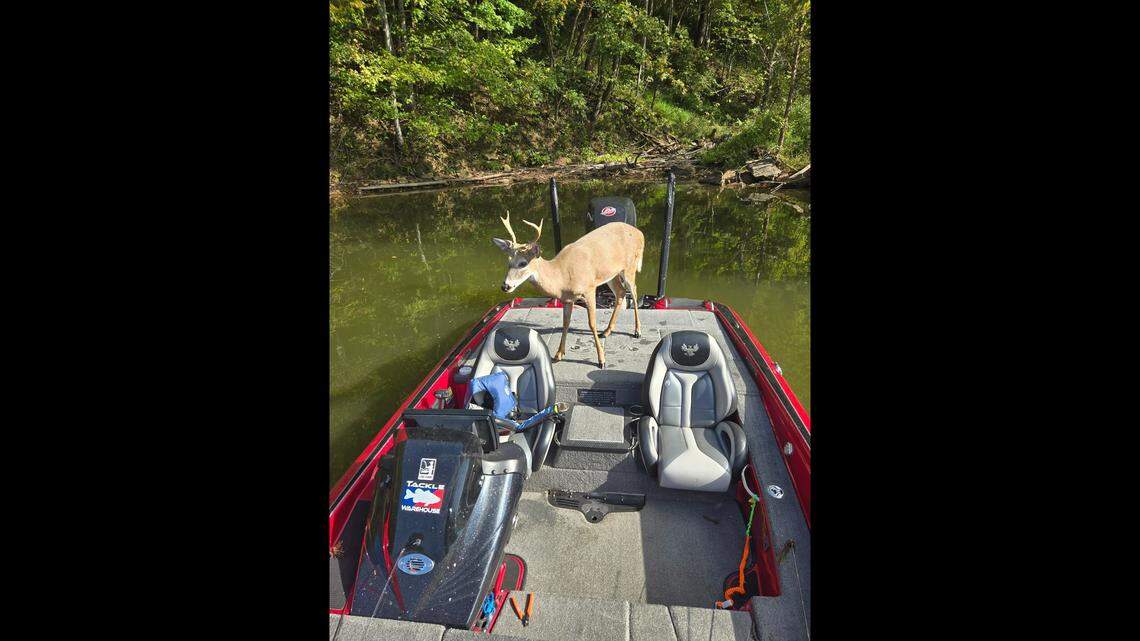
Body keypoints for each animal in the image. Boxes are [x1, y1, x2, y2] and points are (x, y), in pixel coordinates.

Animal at [492, 211, 644, 369]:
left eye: (523, 263)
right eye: (508, 262)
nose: (505, 286)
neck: (561, 276)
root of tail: (639, 233)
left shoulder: (589, 289)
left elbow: (592, 323)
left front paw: (601, 360)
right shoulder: (567, 299)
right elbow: (565, 323)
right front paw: (558, 354)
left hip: (630, 266)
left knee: (634, 291)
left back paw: (637, 331)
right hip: (611, 274)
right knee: (620, 292)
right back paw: (607, 331)